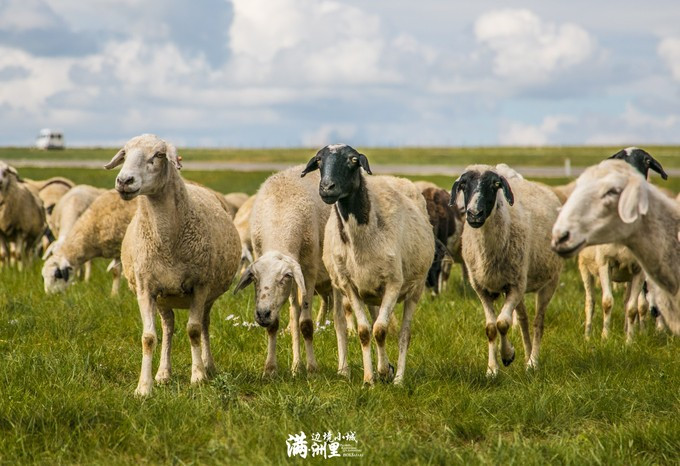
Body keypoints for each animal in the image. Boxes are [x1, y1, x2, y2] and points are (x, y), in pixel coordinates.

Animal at [106, 135, 242, 396]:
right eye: (124, 154)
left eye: (159, 155)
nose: (124, 181)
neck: (167, 242)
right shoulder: (145, 288)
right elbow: (148, 337)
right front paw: (144, 387)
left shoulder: (200, 286)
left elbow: (194, 330)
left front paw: (198, 376)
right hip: (164, 299)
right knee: (168, 328)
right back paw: (163, 373)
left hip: (208, 294)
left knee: (204, 325)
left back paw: (208, 366)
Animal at [232, 167, 330, 374]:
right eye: (254, 278)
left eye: (284, 277)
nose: (262, 314)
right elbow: (275, 325)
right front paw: (270, 368)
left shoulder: (308, 271)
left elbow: (306, 325)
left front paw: (312, 368)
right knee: (294, 315)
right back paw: (296, 366)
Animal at [300, 144, 432, 384]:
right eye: (319, 160)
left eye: (353, 160)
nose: (326, 188)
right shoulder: (350, 286)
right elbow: (364, 331)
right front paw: (369, 378)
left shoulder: (393, 284)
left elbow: (380, 330)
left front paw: (385, 372)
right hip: (356, 288)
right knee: (343, 323)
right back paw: (349, 369)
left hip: (415, 288)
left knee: (404, 333)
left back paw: (398, 377)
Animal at [452, 164, 564, 374]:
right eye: (464, 184)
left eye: (494, 185)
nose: (474, 214)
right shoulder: (482, 288)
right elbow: (491, 327)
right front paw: (492, 369)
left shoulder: (515, 286)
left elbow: (503, 324)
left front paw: (508, 355)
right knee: (523, 321)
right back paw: (527, 358)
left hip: (548, 281)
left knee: (538, 322)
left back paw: (533, 362)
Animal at [552, 160, 680, 334]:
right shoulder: (605, 264)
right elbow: (607, 302)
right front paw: (605, 336)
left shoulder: (639, 271)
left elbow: (634, 307)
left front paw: (633, 336)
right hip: (585, 269)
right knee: (590, 301)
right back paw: (587, 334)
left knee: (627, 302)